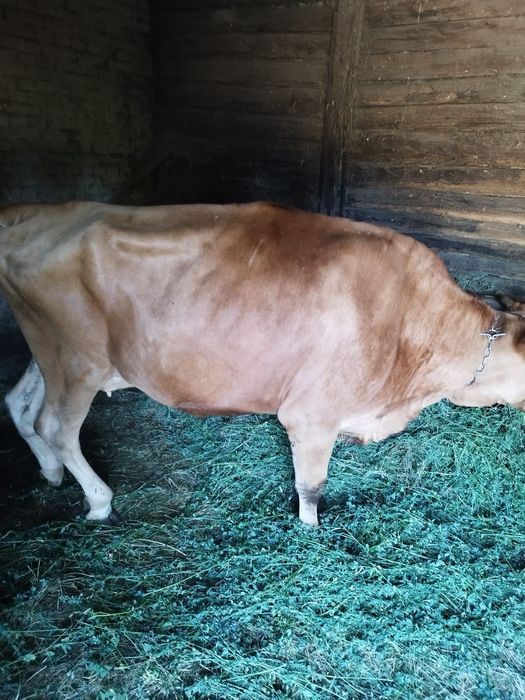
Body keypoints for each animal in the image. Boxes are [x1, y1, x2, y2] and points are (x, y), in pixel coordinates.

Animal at [1, 201, 525, 527]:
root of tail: (36, 212)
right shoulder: (312, 413)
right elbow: (311, 485)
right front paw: (311, 531)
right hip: (77, 360)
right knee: (56, 427)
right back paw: (99, 502)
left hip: (48, 351)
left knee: (20, 405)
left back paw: (50, 473)